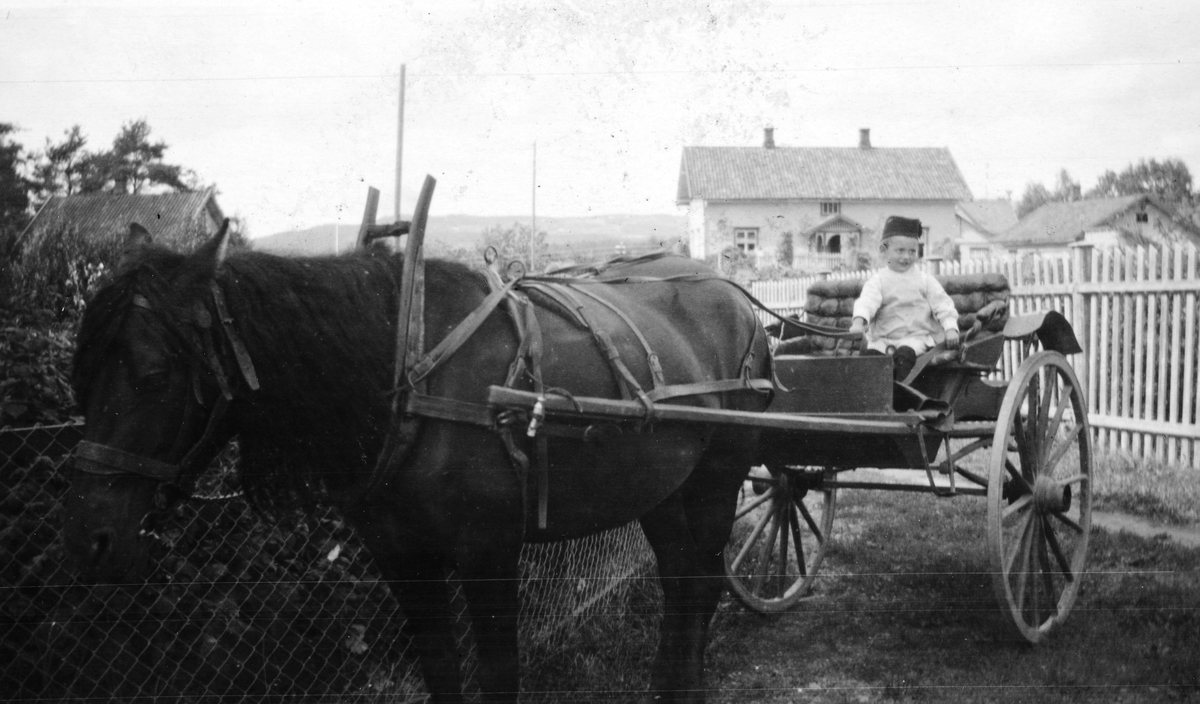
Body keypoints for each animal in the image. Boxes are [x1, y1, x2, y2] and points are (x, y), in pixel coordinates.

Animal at [65, 223, 772, 700]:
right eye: (82, 375)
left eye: (154, 374)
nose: (92, 539)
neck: (406, 379)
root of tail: (732, 293)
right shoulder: (404, 560)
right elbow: (441, 673)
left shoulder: (489, 555)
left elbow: (499, 676)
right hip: (667, 492)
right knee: (680, 585)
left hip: (715, 482)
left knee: (702, 586)